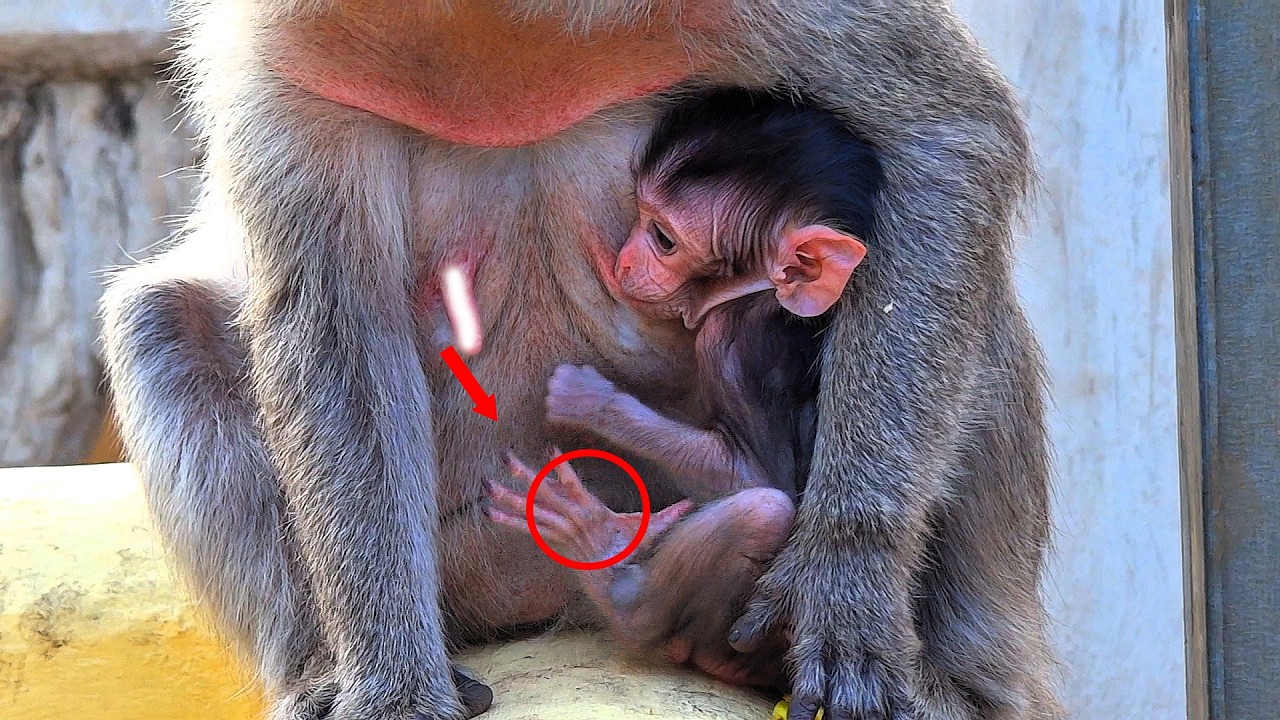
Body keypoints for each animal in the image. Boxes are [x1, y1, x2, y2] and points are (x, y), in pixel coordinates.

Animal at [483, 89, 882, 688]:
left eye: (663, 239)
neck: (758, 295)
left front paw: (587, 399)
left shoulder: (732, 340)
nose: (624, 259)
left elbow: (757, 475)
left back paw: (615, 575)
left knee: (762, 512)